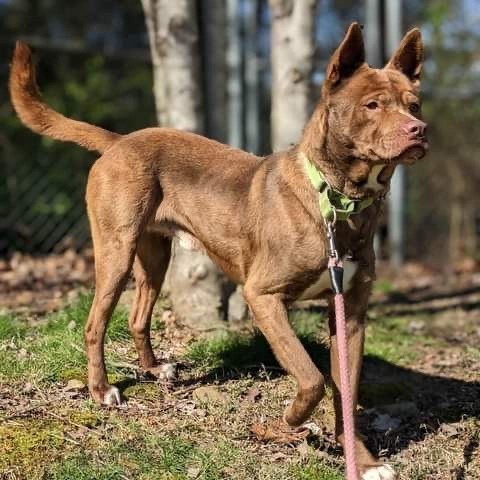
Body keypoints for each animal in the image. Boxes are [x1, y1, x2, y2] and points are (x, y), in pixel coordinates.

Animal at [9, 23, 426, 480]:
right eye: (372, 105)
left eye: (414, 104)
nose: (419, 129)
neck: (335, 201)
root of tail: (120, 140)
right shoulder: (262, 296)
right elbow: (313, 378)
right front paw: (290, 422)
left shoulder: (350, 312)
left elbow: (345, 391)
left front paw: (364, 462)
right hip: (116, 252)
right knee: (95, 323)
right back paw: (102, 390)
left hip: (155, 256)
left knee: (138, 316)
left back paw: (153, 368)